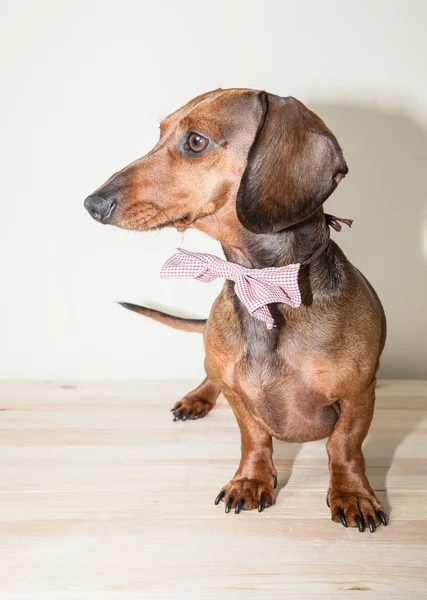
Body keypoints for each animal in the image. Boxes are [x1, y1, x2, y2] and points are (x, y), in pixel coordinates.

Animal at [85, 86, 390, 532]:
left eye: (196, 142)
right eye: (159, 133)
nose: (92, 205)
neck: (261, 286)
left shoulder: (358, 394)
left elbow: (344, 445)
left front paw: (352, 494)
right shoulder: (237, 394)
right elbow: (254, 437)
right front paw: (251, 480)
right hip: (214, 358)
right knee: (209, 374)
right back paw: (196, 398)